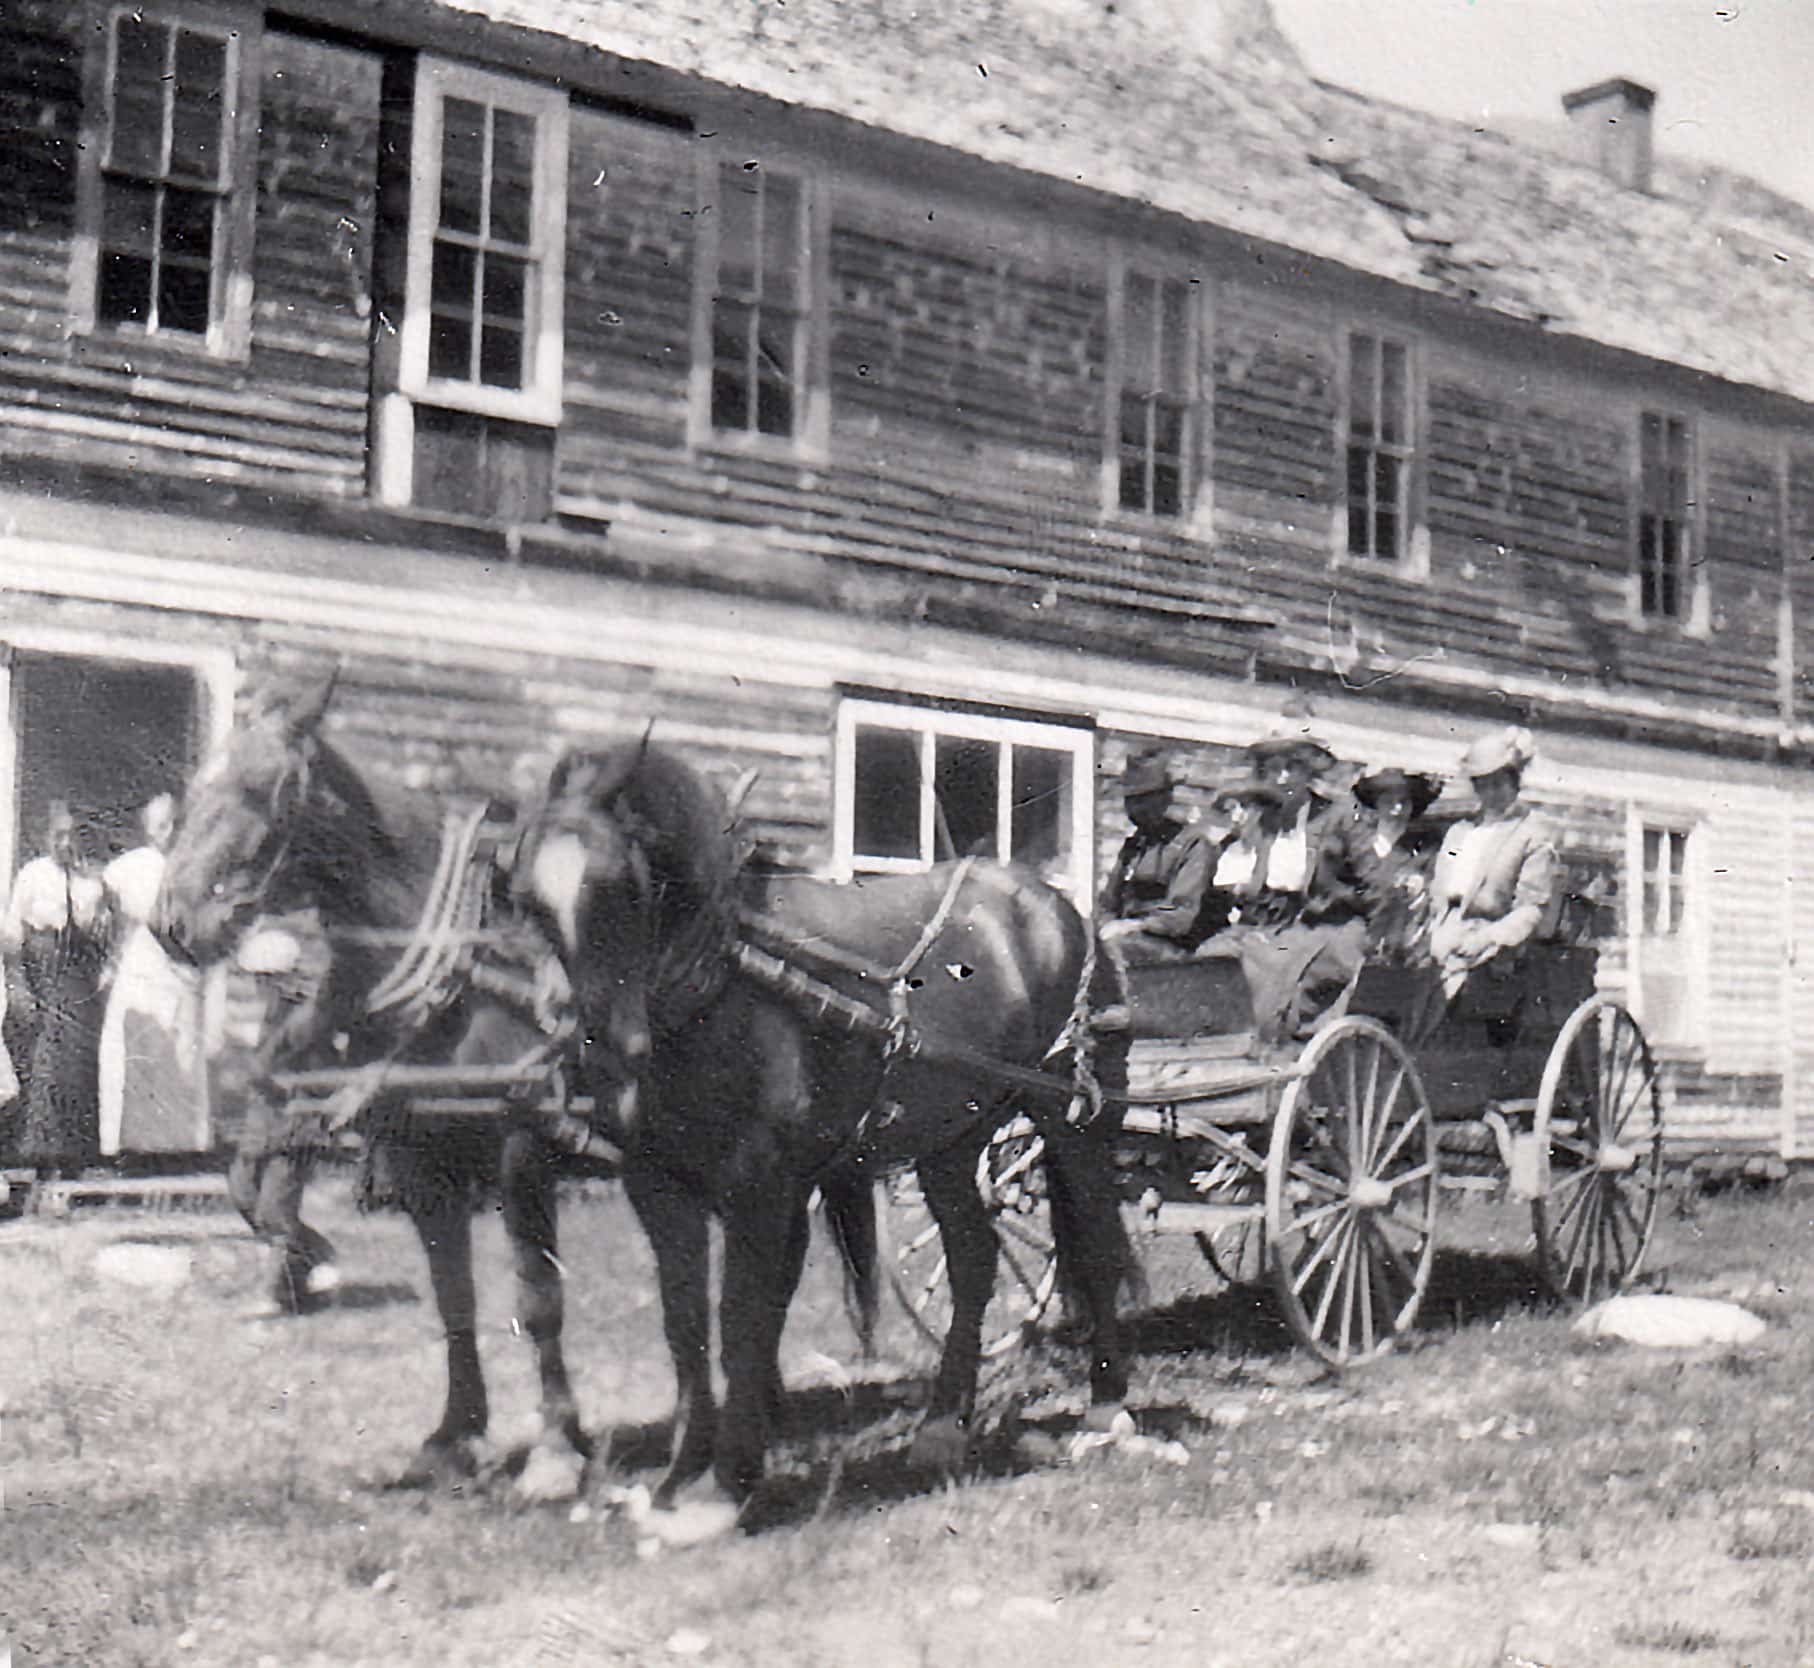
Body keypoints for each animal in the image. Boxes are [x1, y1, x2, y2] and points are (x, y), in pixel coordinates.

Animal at [152, 678, 881, 1501]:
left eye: (259, 787)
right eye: (192, 791)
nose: (173, 921)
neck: (466, 971)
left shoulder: (522, 1149)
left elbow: (539, 1298)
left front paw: (557, 1448)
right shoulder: (422, 1162)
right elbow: (453, 1296)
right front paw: (453, 1434)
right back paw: (767, 1404)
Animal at [518, 739, 1124, 1537]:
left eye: (621, 885)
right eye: (526, 898)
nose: (603, 1049)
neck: (726, 989)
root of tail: (1055, 908)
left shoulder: (758, 1185)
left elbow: (742, 1318)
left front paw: (726, 1485)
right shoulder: (656, 1185)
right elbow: (686, 1324)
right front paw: (678, 1480)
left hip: (1071, 1117)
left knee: (1096, 1237)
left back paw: (1109, 1406)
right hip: (951, 1139)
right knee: (973, 1259)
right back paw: (942, 1426)